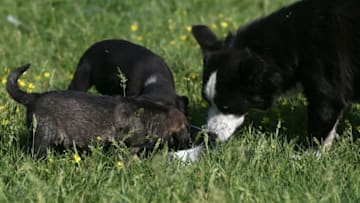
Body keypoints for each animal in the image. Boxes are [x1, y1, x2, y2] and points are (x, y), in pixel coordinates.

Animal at [190, 0, 358, 153]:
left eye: (226, 106)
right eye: (207, 102)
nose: (209, 136)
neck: (292, 43)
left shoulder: (327, 80)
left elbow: (323, 117)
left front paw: (309, 157)